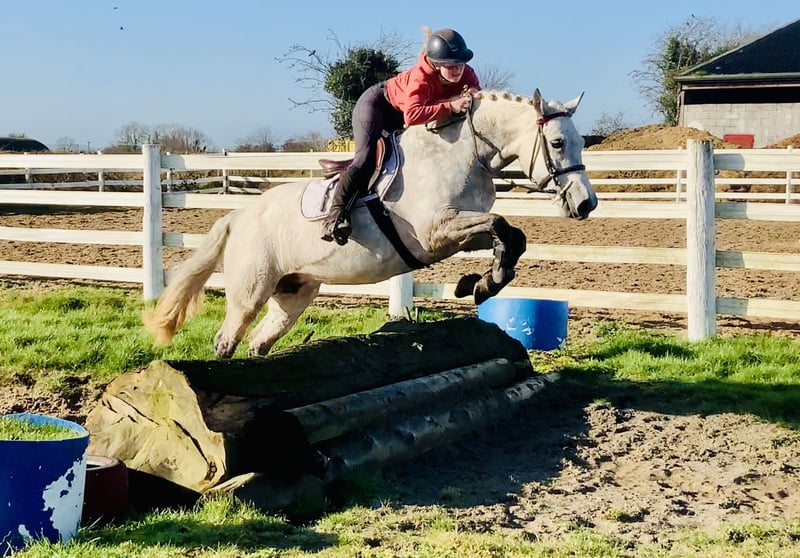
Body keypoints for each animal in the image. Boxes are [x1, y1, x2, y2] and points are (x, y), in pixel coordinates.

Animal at [143, 89, 598, 358]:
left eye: (581, 142)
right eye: (557, 142)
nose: (586, 204)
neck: (462, 151)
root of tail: (238, 216)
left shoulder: (459, 233)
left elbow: (511, 235)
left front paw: (480, 283)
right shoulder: (437, 231)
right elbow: (502, 226)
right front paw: (481, 284)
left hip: (293, 293)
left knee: (259, 341)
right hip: (248, 291)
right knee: (227, 339)